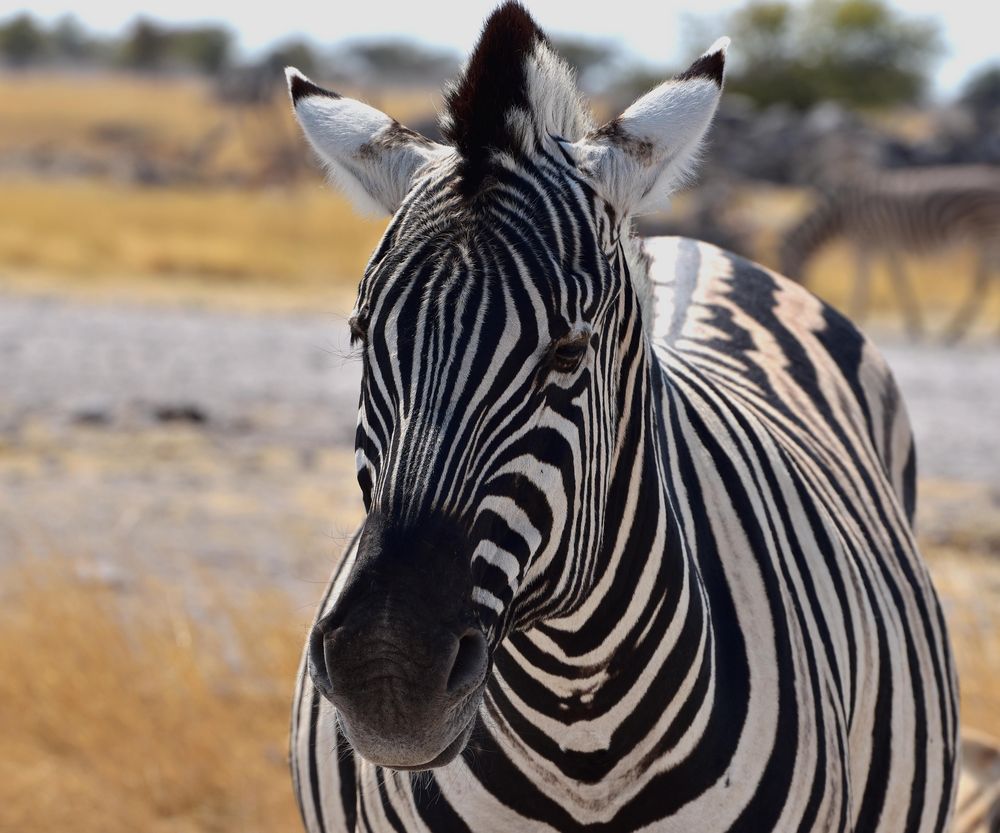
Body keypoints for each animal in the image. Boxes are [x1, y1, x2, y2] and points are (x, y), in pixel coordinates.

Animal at [776, 169, 1000, 342]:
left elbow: (863, 282)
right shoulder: (885, 245)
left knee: (983, 282)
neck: (841, 212)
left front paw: (855, 317)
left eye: (784, 267)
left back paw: (957, 332)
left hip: (987, 236)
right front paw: (914, 325)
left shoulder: (865, 242)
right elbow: (899, 281)